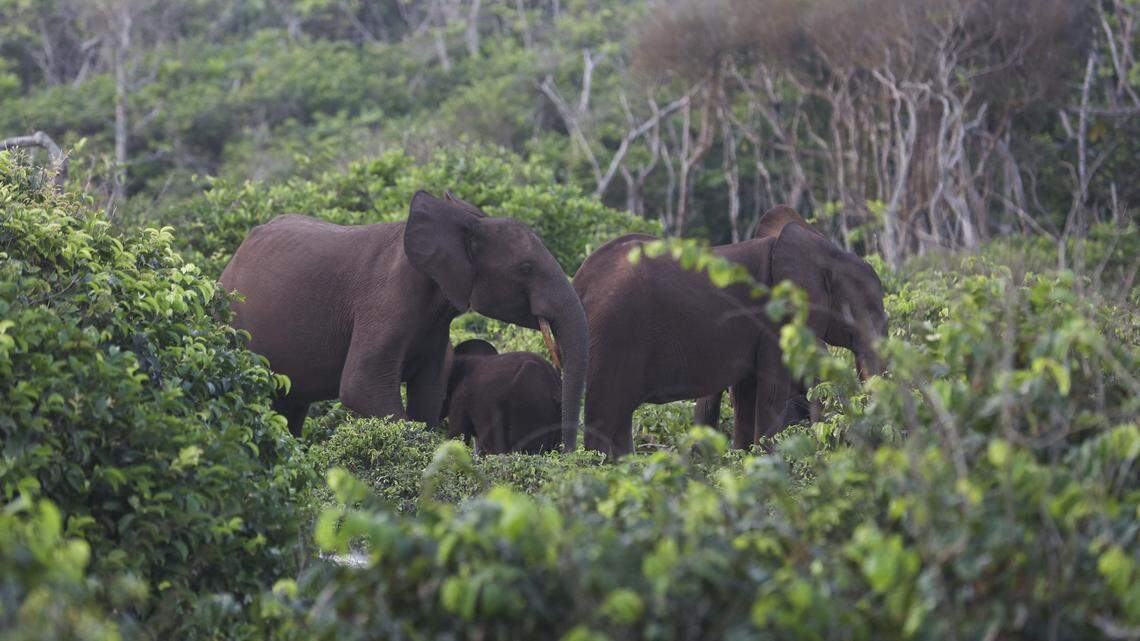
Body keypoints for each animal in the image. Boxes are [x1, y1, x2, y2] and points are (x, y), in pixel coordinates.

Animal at [219, 190, 587, 450]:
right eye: (526, 268)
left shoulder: (436, 322)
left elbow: (429, 392)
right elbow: (362, 386)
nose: (569, 456)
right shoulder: (384, 300)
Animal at [572, 204, 887, 457]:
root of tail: (580, 279)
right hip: (613, 334)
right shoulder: (775, 319)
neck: (825, 252)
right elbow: (770, 392)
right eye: (866, 312)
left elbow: (748, 393)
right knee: (605, 415)